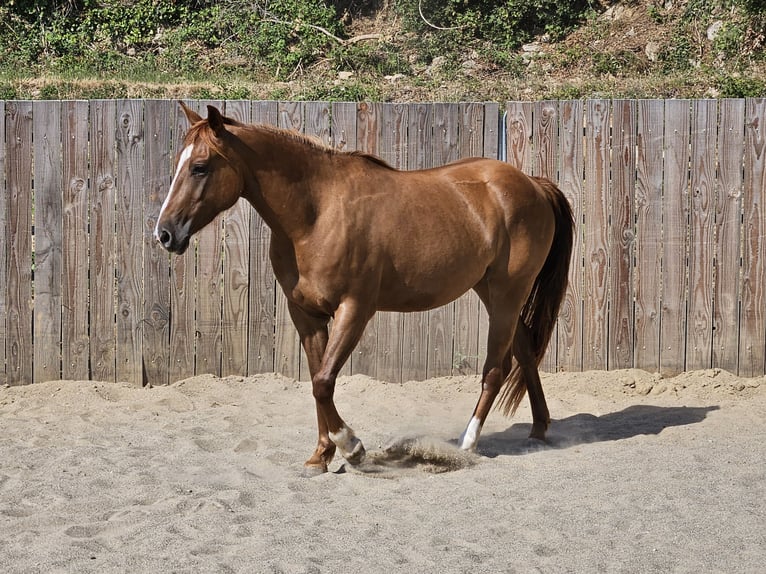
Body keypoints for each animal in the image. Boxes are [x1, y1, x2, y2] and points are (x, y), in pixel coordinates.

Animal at [155, 103, 574, 474]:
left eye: (199, 167)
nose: (164, 233)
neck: (317, 212)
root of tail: (533, 185)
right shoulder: (306, 315)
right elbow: (318, 381)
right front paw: (320, 456)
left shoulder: (354, 310)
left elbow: (323, 382)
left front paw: (351, 446)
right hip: (493, 292)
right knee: (524, 349)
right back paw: (539, 429)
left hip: (506, 294)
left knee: (495, 369)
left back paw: (466, 444)